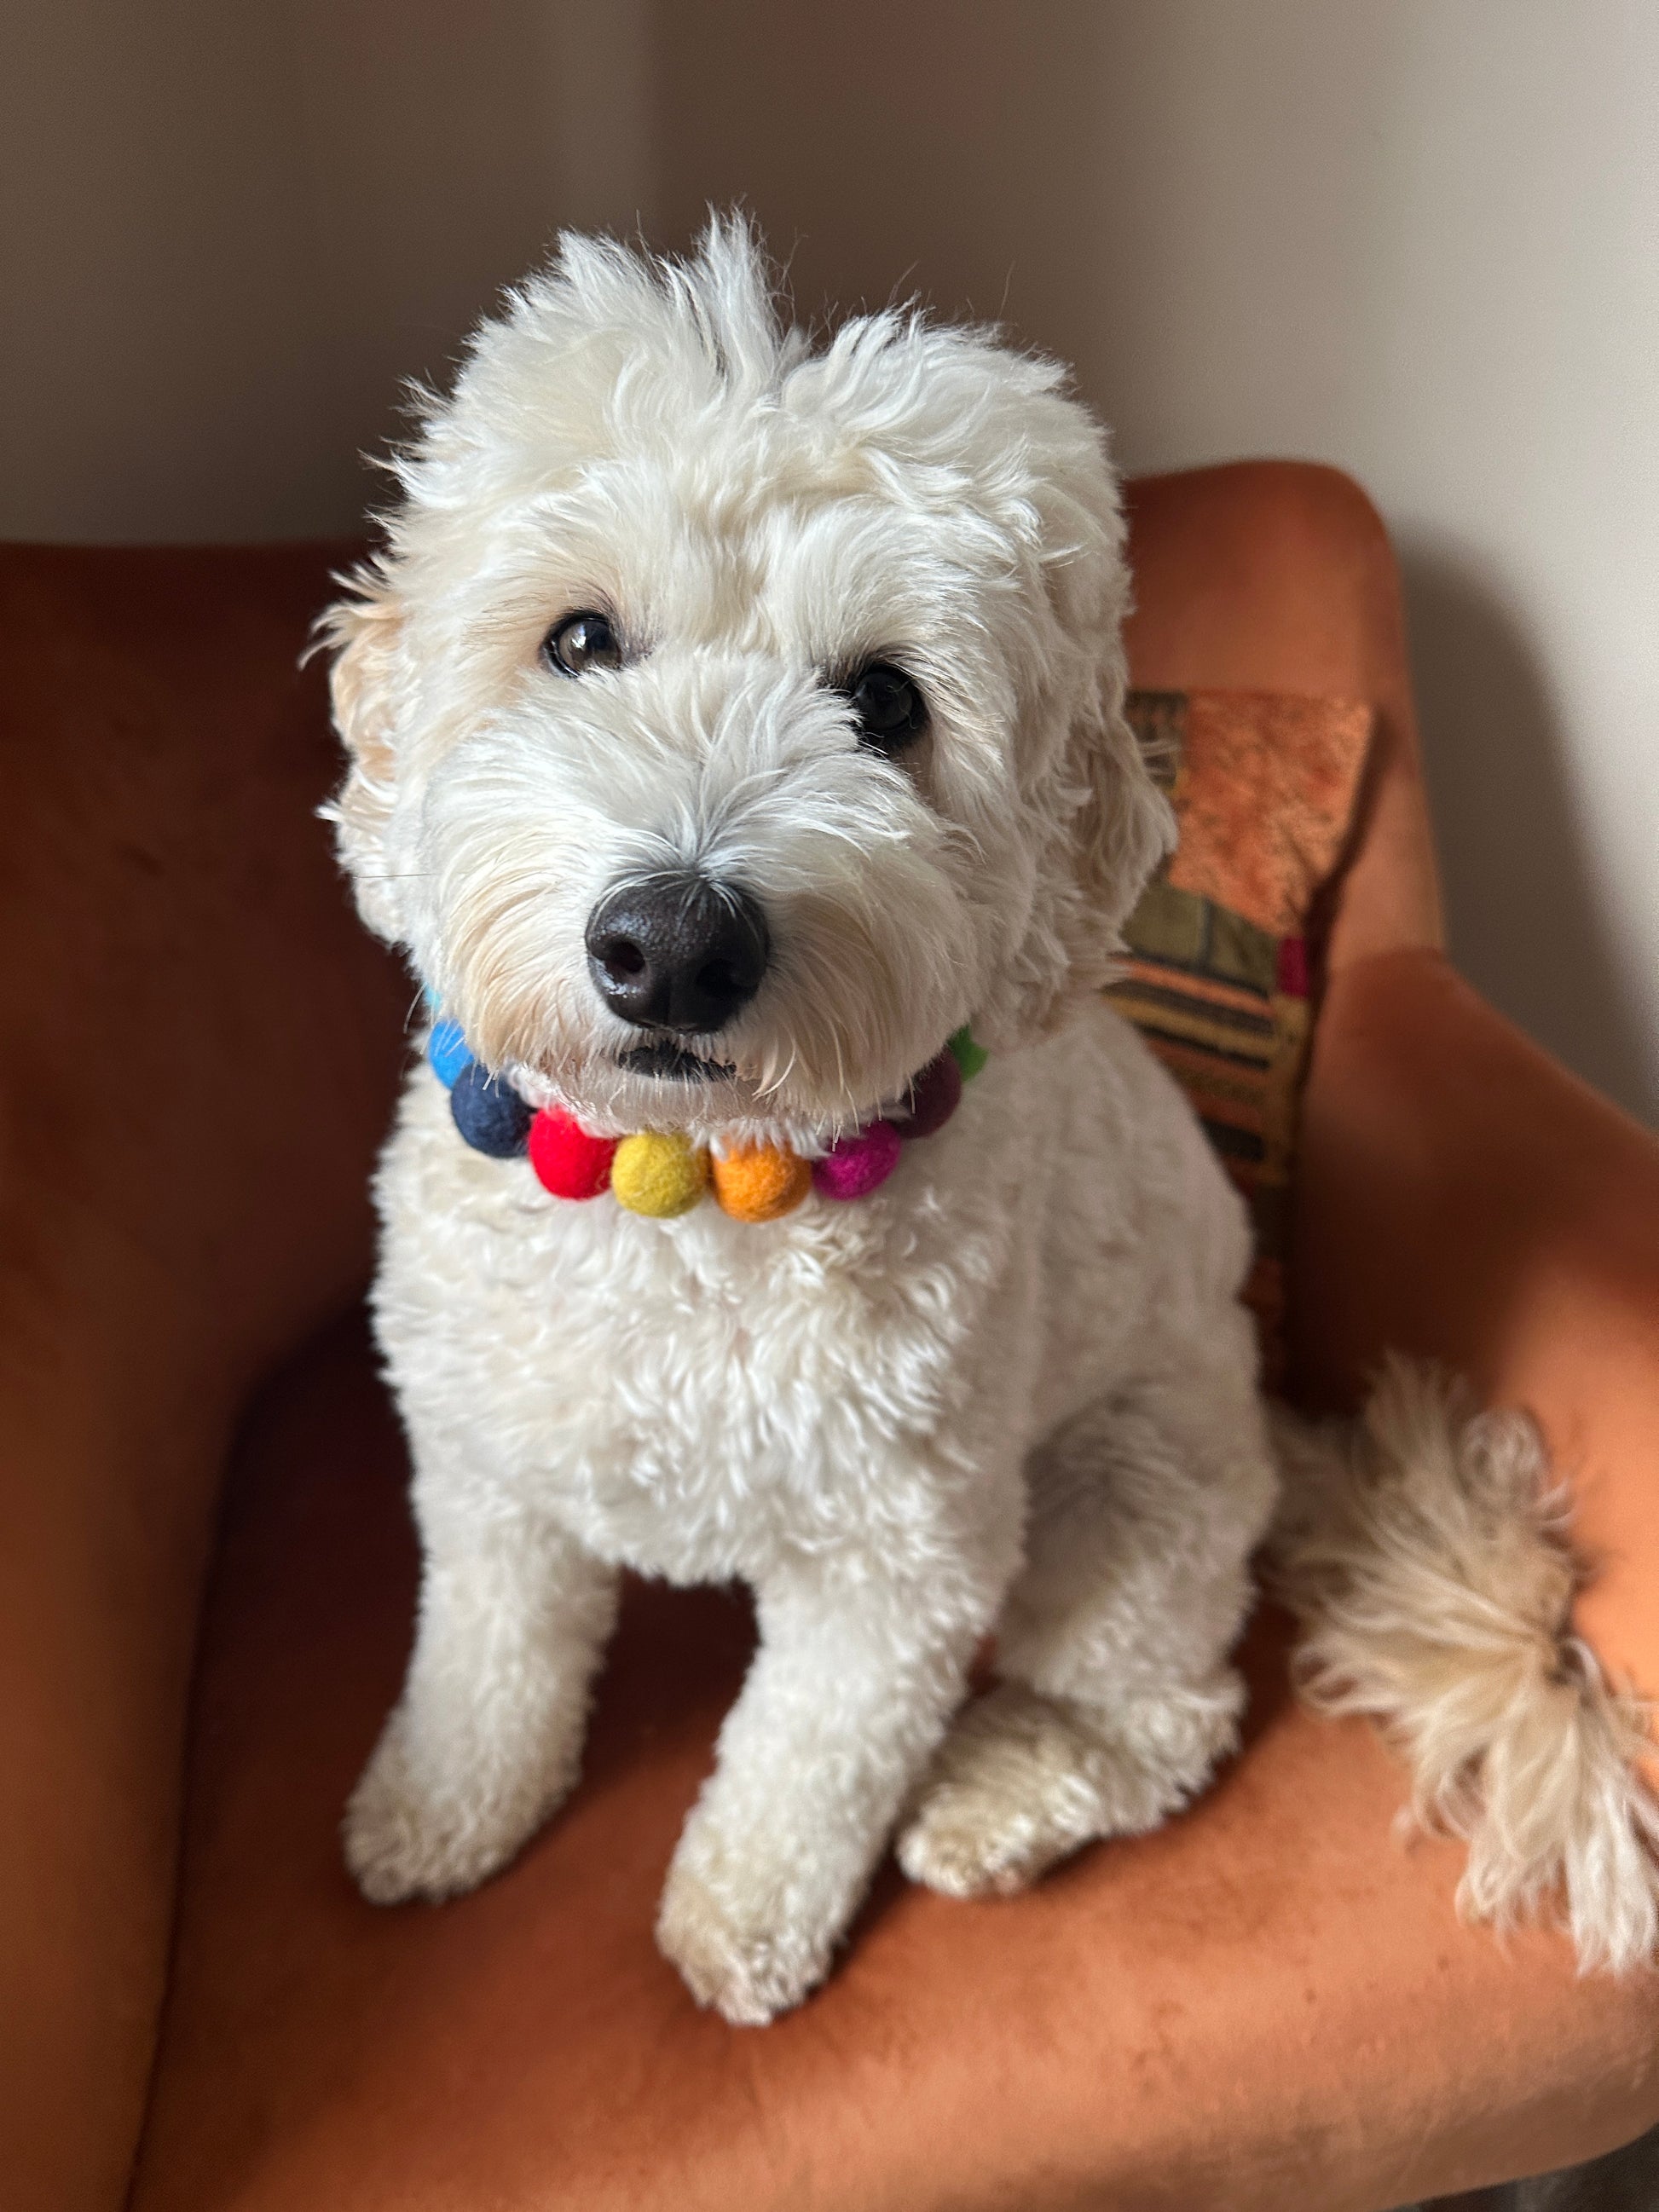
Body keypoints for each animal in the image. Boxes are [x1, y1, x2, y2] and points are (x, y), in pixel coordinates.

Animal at [318, 220, 1282, 2026]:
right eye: (577, 642)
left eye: (888, 704)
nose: (674, 942)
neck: (683, 1200)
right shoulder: (484, 1465)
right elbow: (487, 1656)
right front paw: (443, 1807)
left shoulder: (897, 1566)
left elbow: (807, 1763)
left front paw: (740, 1928)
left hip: (1132, 1486)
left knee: (1159, 1709)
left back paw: (1000, 1798)